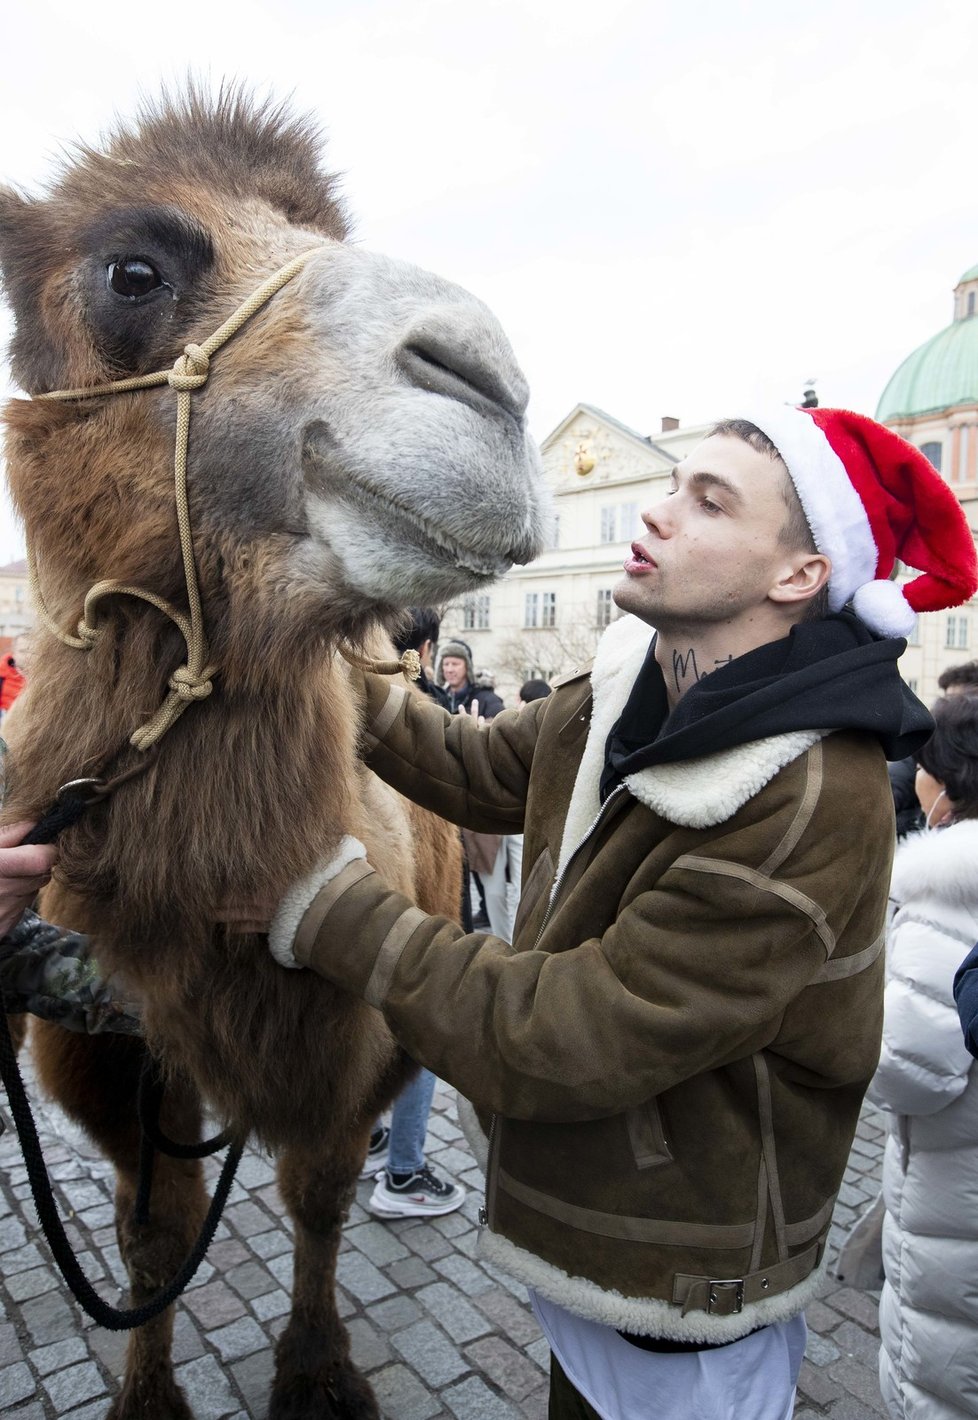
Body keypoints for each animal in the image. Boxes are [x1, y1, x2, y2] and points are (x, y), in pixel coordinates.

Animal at [0, 91, 550, 1420]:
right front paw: (148, 1395)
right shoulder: (109, 1044)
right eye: (132, 270)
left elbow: (316, 1195)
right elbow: (153, 1232)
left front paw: (315, 1372)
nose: (490, 385)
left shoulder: (350, 1039)